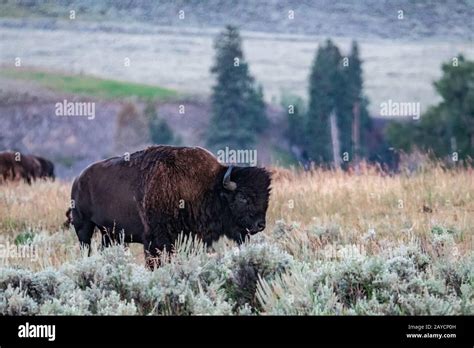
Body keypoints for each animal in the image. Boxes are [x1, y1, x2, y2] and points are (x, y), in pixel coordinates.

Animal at [68, 145, 272, 268]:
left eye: (266, 197)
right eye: (242, 197)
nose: (260, 225)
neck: (208, 187)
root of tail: (78, 179)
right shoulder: (155, 240)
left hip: (110, 234)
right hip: (84, 227)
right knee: (86, 248)